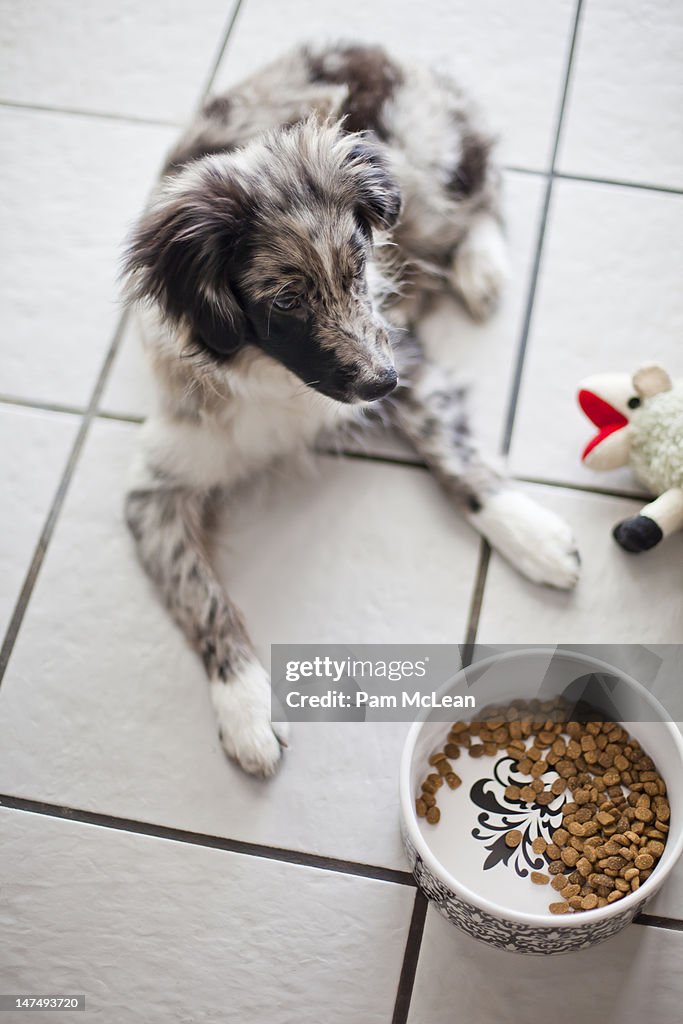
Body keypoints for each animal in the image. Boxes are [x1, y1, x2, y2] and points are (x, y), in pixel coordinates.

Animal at [122, 39, 581, 774]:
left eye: (359, 264)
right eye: (284, 300)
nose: (381, 385)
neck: (277, 380)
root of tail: (366, 45)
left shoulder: (403, 349)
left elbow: (451, 454)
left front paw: (528, 532)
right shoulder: (154, 487)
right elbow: (199, 595)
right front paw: (245, 707)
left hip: (424, 166)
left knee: (486, 180)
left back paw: (481, 268)